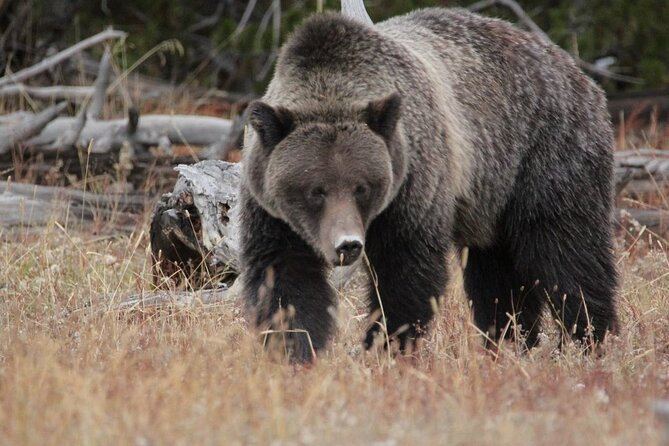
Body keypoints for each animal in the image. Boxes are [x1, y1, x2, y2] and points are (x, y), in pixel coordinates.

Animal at [239, 6, 616, 362]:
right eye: (315, 190)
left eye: (362, 187)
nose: (348, 244)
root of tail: (578, 72)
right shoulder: (271, 210)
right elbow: (285, 279)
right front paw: (294, 349)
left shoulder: (413, 184)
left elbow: (404, 274)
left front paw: (384, 346)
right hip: (492, 201)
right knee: (498, 277)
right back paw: (509, 342)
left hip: (544, 154)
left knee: (568, 255)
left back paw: (591, 341)